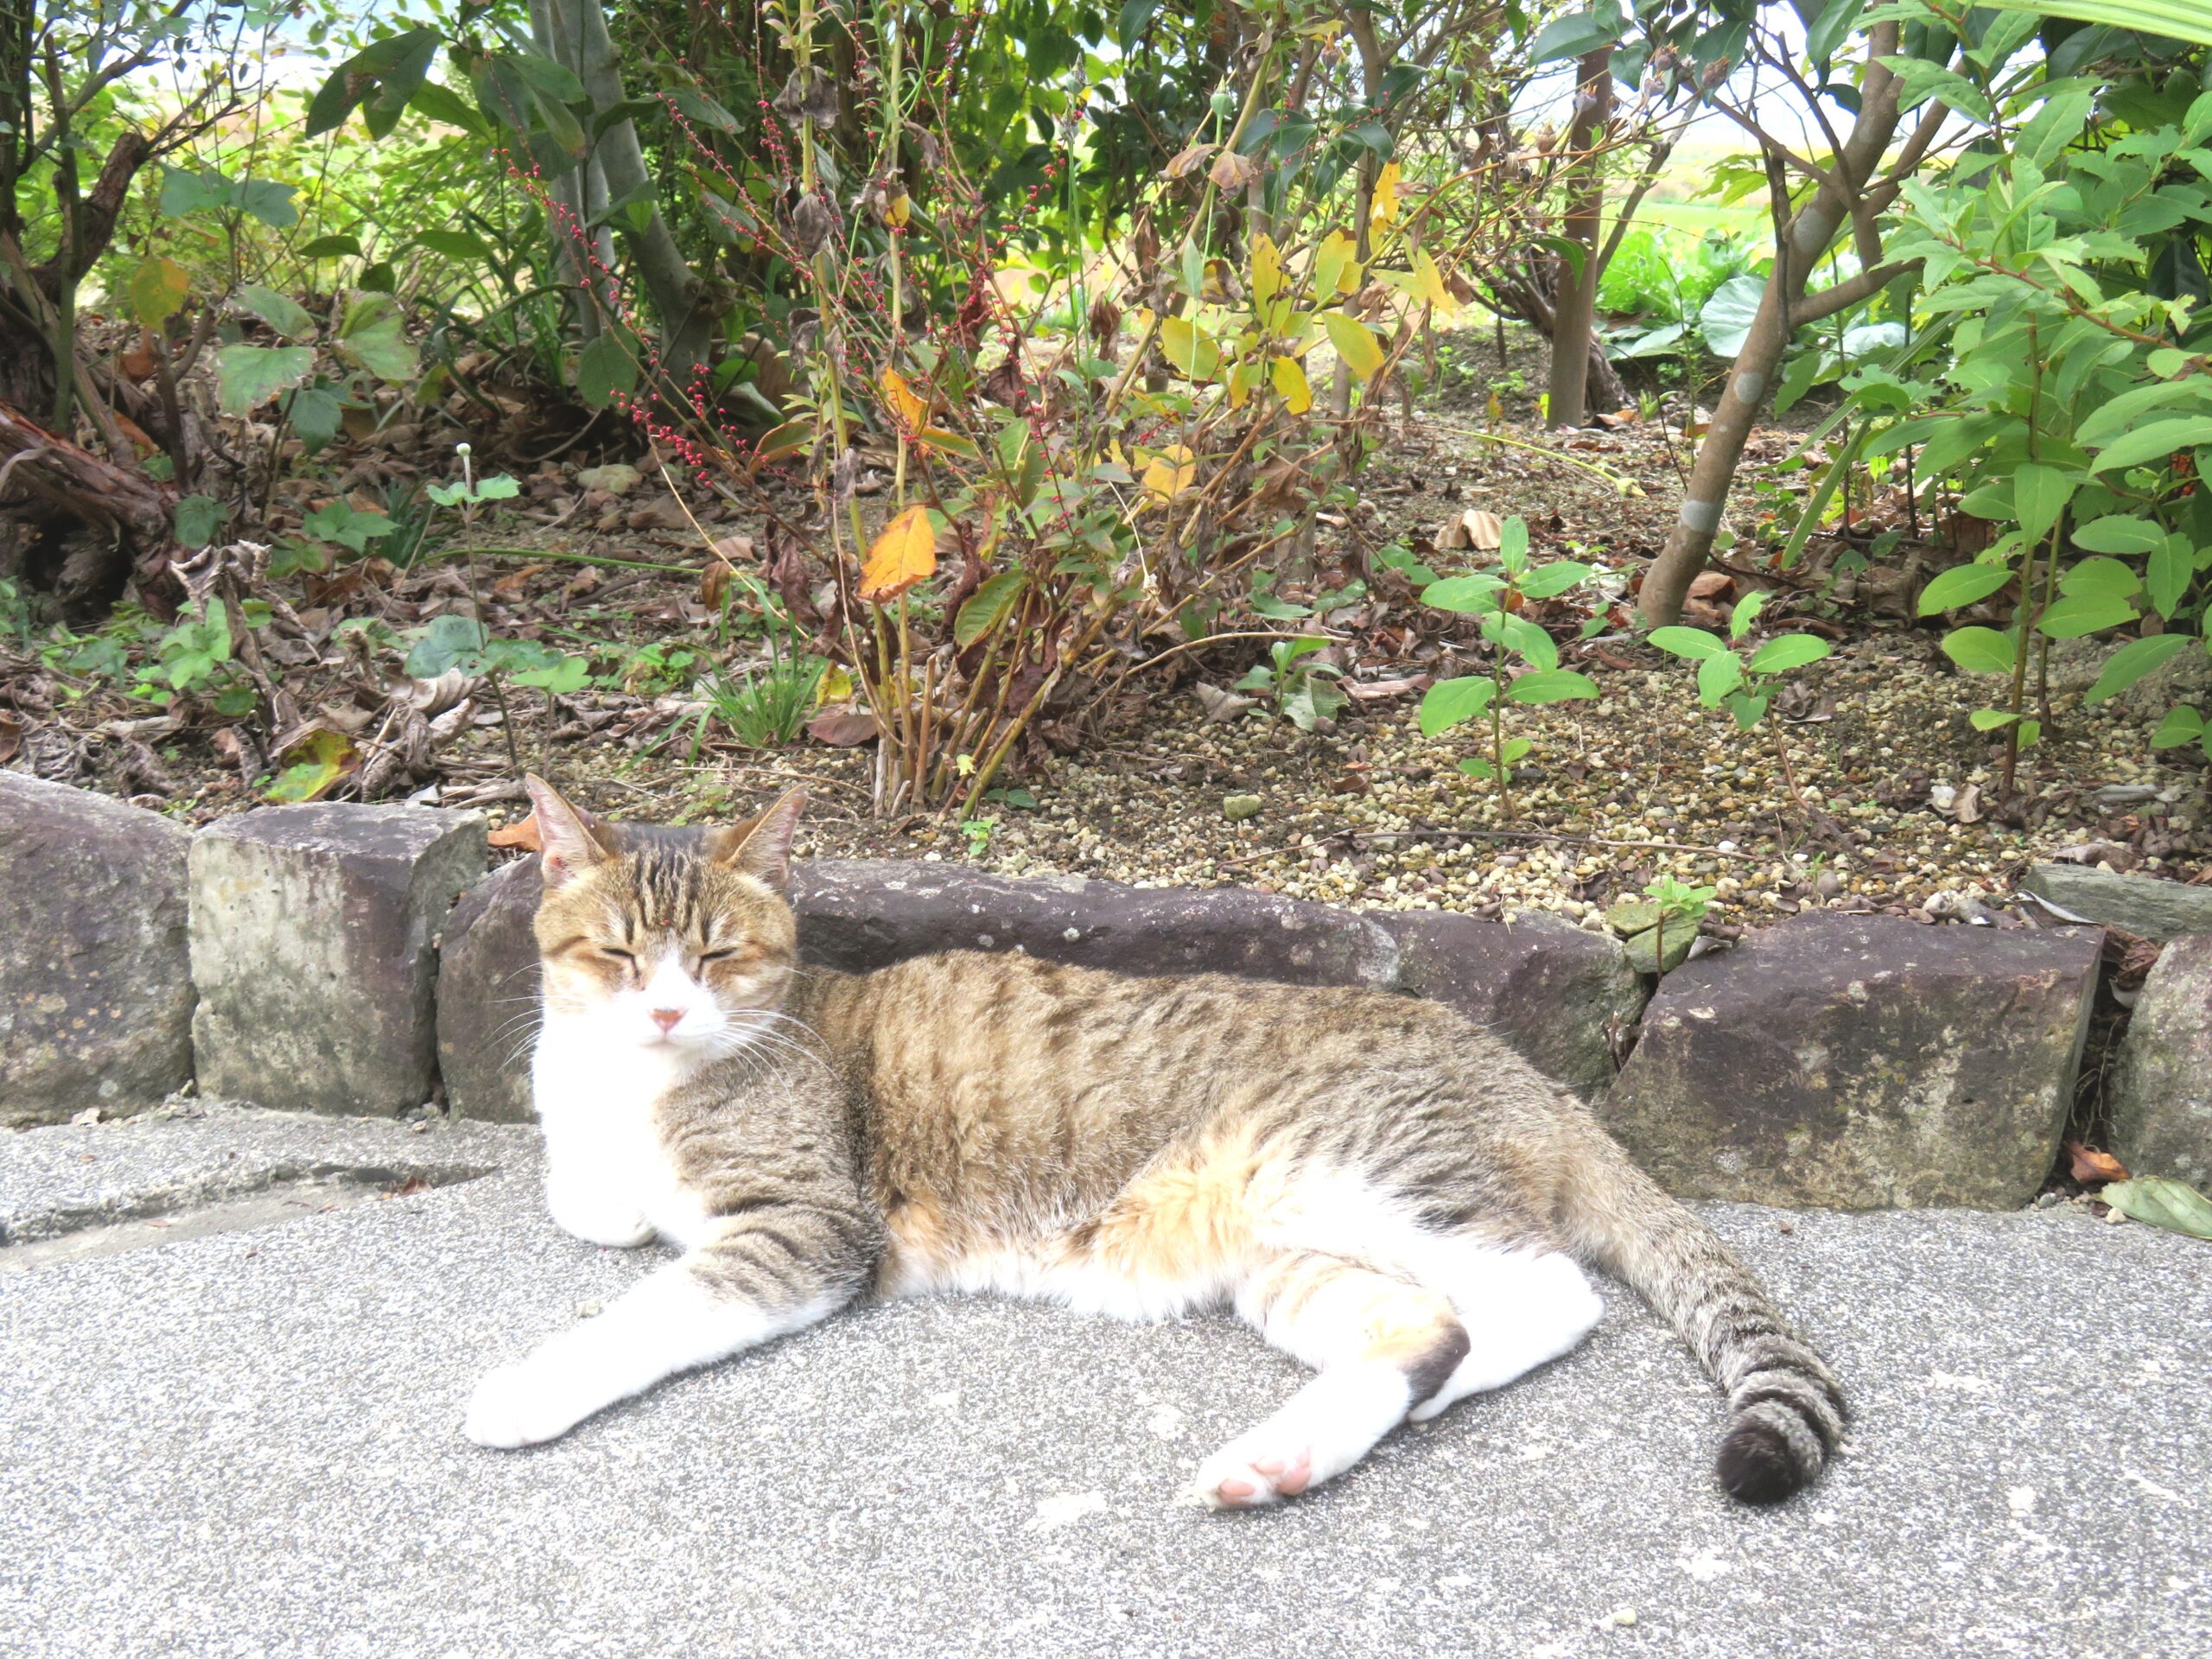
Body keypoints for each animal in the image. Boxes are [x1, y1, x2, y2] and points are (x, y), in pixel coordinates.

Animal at [471, 779, 1849, 1503]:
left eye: (716, 954)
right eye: (616, 953)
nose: (665, 1008)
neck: (638, 1084)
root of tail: (1531, 1079)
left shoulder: (813, 1226)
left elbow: (656, 1306)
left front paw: (530, 1385)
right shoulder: (604, 1172)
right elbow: (591, 1205)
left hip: (1346, 1166)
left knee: (1553, 1295)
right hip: (1286, 1256)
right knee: (1435, 1331)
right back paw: (1296, 1449)